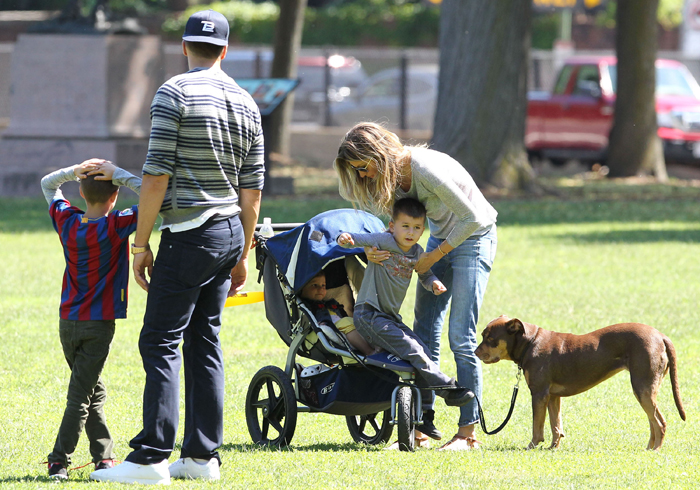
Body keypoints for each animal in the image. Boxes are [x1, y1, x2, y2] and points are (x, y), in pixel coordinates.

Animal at [474, 316, 688, 450]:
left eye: (490, 338)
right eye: (483, 336)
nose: (475, 352)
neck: (530, 343)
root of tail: (661, 336)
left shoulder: (539, 394)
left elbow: (537, 426)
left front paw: (531, 446)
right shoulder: (553, 396)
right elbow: (555, 425)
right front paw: (553, 447)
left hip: (642, 387)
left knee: (659, 423)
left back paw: (656, 450)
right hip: (645, 390)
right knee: (653, 423)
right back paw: (649, 449)